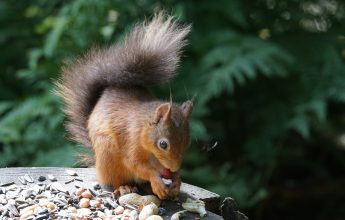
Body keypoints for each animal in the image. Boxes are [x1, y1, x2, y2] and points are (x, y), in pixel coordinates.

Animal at [55, 12, 192, 199]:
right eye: (163, 144)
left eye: (188, 142)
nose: (173, 168)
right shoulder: (130, 139)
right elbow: (135, 163)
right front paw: (156, 179)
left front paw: (177, 179)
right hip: (108, 154)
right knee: (117, 181)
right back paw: (124, 188)